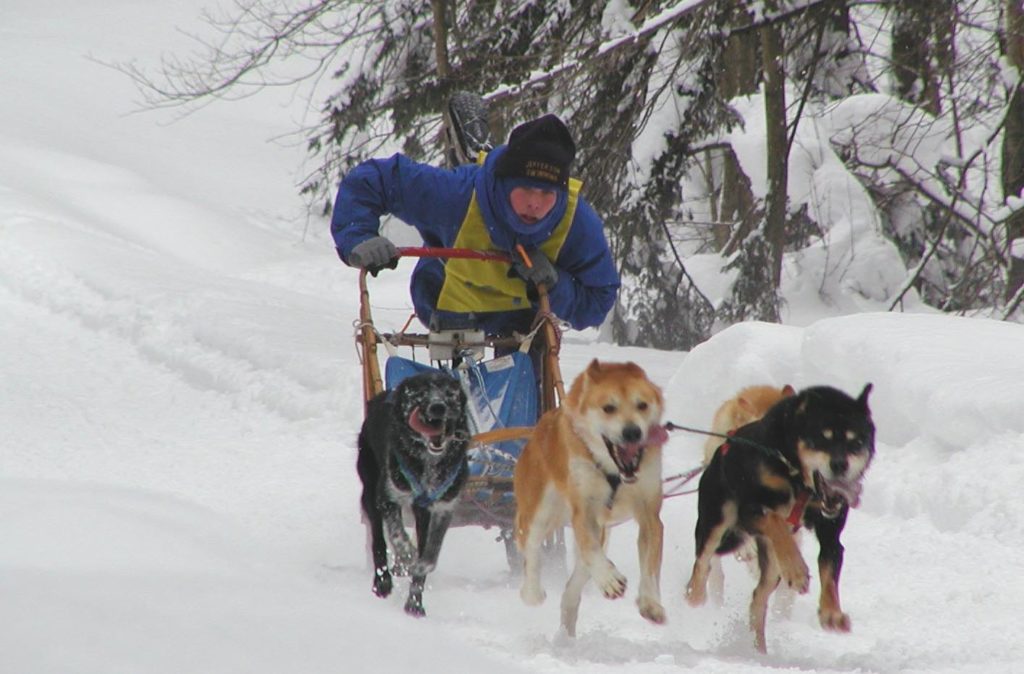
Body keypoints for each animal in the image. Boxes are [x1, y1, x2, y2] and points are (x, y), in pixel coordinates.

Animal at [358, 370, 468, 618]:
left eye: (450, 393)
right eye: (420, 392)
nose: (438, 407)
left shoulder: (443, 509)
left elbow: (429, 556)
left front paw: (415, 600)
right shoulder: (388, 498)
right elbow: (398, 536)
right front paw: (407, 555)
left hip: (422, 513)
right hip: (370, 493)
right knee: (378, 540)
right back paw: (383, 582)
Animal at [512, 360, 671, 630]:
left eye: (642, 405)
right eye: (609, 408)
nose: (632, 432)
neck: (614, 472)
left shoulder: (649, 514)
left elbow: (650, 564)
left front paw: (650, 602)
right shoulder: (584, 510)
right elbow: (590, 549)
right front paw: (609, 579)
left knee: (574, 584)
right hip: (539, 512)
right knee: (531, 548)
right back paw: (532, 591)